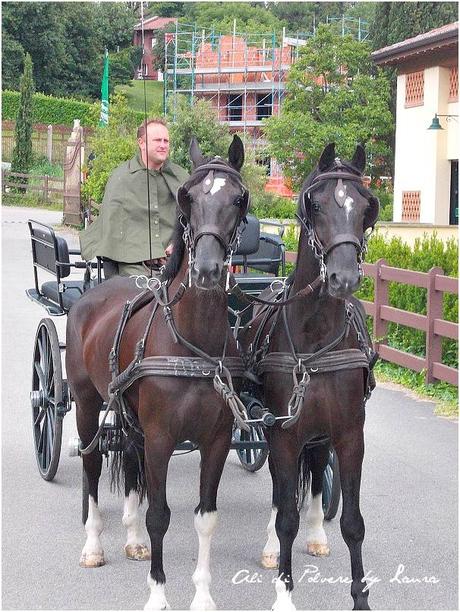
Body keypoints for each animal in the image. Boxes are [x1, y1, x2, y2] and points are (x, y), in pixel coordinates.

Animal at [66, 136, 250, 608]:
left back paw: (131, 540)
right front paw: (158, 595)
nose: (206, 269)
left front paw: (202, 596)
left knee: (130, 458)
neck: (191, 343)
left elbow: (205, 517)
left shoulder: (217, 440)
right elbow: (160, 516)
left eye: (238, 199)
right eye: (188, 197)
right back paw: (92, 545)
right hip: (87, 403)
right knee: (92, 464)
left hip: (132, 420)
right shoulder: (163, 437)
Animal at [243, 145, 380, 612]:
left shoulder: (349, 435)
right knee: (278, 494)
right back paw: (269, 547)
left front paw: (360, 599)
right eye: (315, 205)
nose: (344, 278)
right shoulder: (283, 433)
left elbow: (354, 522)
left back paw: (318, 531)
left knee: (318, 472)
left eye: (365, 207)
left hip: (319, 434)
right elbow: (285, 514)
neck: (316, 334)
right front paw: (284, 594)